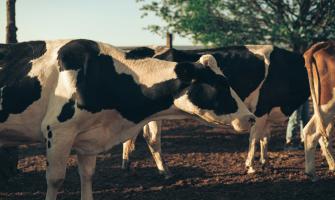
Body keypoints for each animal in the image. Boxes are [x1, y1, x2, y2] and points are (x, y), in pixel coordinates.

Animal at [0, 39, 255, 200]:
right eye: (221, 85)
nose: (250, 118)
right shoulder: (58, 131)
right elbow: (55, 179)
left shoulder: (88, 138)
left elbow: (87, 176)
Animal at [122, 45, 314, 177]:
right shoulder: (260, 110)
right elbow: (254, 138)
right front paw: (251, 166)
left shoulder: (267, 113)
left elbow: (264, 138)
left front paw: (265, 162)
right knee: (152, 138)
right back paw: (165, 171)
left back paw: (127, 165)